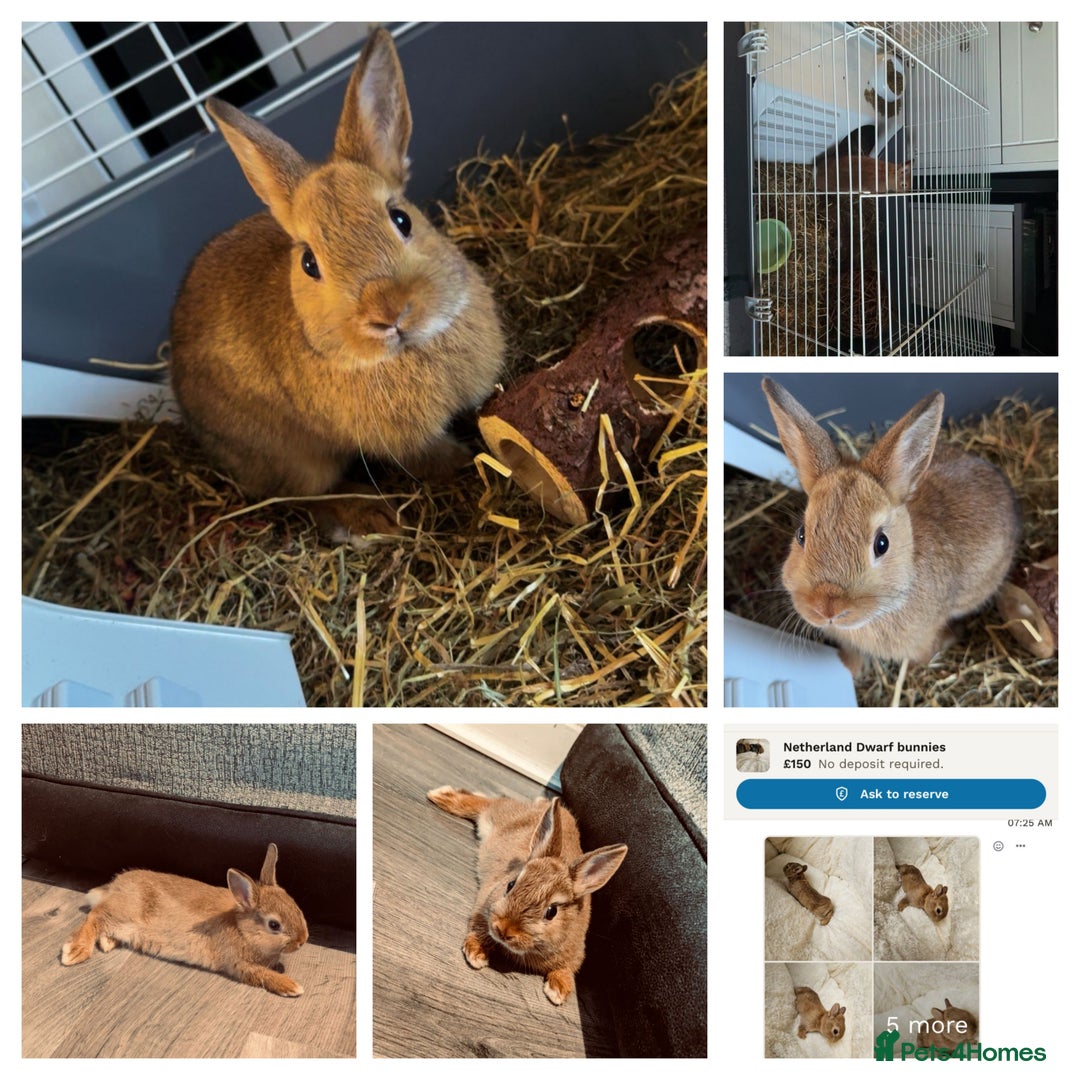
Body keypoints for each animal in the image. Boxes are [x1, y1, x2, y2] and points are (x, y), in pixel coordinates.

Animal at [60, 843, 309, 996]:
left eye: (295, 905)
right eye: (274, 925)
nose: (302, 941)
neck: (242, 929)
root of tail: (114, 887)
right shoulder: (238, 964)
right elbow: (263, 975)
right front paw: (292, 986)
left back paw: (108, 942)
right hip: (121, 912)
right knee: (94, 917)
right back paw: (75, 951)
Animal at [169, 29, 505, 544]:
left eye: (401, 218)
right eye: (309, 263)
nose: (388, 313)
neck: (408, 351)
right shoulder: (406, 441)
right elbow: (430, 457)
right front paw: (463, 463)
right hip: (296, 459)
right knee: (303, 495)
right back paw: (371, 514)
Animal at [426, 786, 627, 1005]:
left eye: (552, 912)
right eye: (510, 885)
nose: (503, 929)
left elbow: (567, 969)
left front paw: (558, 990)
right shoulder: (485, 904)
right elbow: (479, 927)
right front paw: (476, 953)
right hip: (500, 816)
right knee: (489, 804)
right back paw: (442, 796)